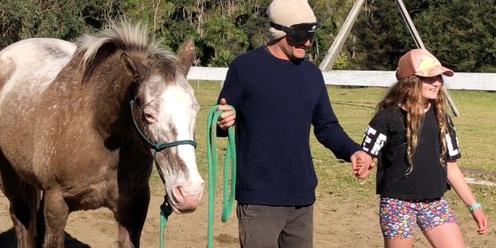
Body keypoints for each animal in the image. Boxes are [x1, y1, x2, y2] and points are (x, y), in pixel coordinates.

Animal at [0, 20, 203, 247]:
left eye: (196, 109)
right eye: (148, 115)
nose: (189, 193)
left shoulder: (134, 206)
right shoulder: (56, 204)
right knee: (21, 220)